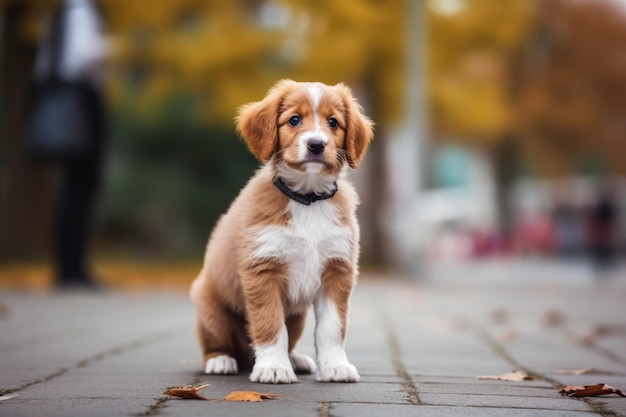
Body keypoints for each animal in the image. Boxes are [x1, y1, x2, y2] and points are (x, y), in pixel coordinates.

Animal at [190, 79, 372, 384]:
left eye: (333, 122)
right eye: (294, 120)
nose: (316, 144)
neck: (308, 198)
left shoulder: (337, 270)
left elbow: (332, 327)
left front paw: (335, 366)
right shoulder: (263, 269)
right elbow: (270, 325)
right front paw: (273, 368)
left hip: (298, 316)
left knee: (292, 338)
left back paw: (295, 358)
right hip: (210, 309)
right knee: (215, 342)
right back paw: (221, 360)